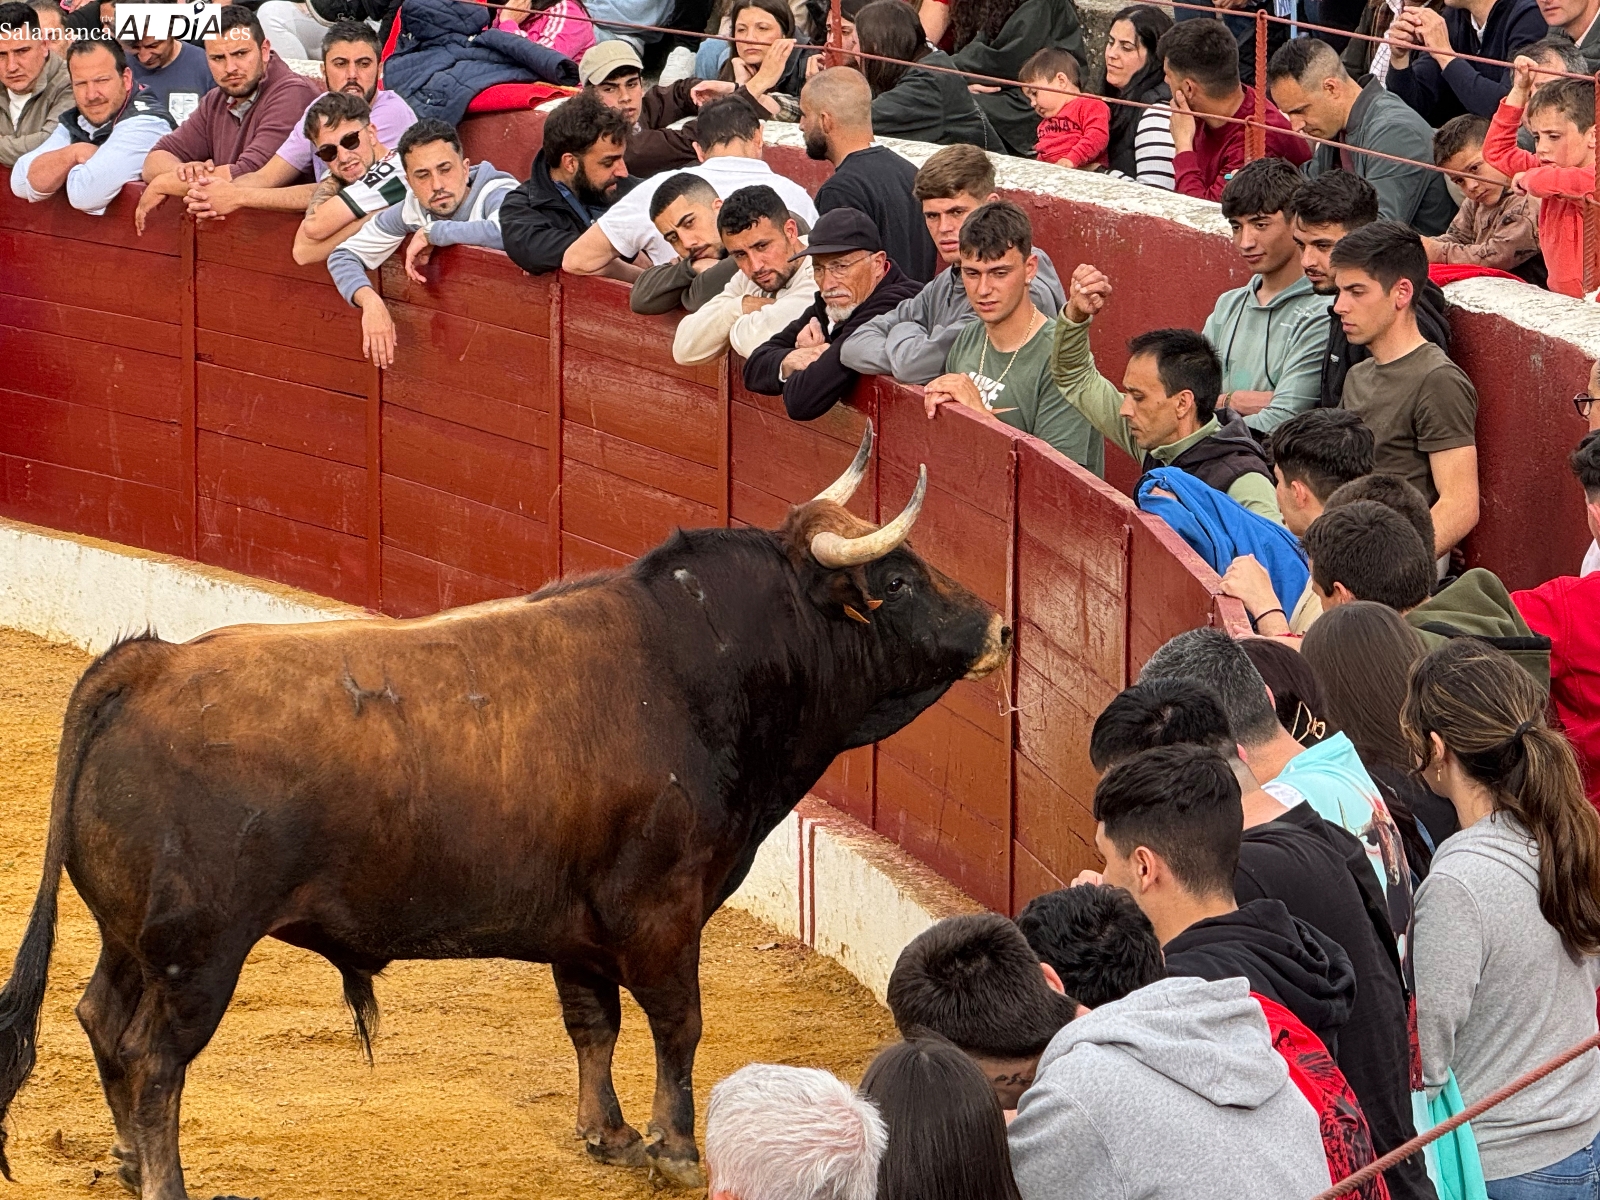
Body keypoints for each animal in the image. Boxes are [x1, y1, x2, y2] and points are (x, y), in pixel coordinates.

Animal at [0, 423, 1009, 1199]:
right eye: (900, 580)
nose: (1000, 627)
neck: (696, 667)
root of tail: (147, 665)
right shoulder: (662, 912)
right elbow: (677, 1025)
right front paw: (676, 1148)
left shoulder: (581, 924)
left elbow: (592, 1022)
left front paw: (607, 1134)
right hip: (197, 954)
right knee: (154, 1060)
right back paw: (164, 1179)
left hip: (130, 937)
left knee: (99, 1020)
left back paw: (127, 1158)